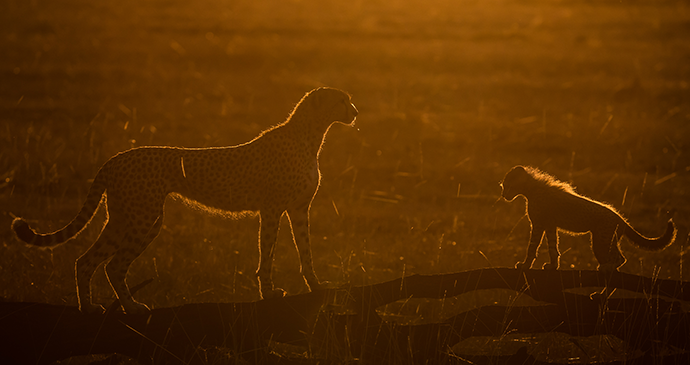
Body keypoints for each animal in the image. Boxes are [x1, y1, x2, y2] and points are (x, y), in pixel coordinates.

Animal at [13, 86, 358, 312]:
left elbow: (305, 250)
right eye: (342, 101)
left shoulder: (298, 209)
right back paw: (124, 307)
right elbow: (268, 253)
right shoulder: (272, 208)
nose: (355, 113)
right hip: (141, 217)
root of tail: (116, 157)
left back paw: (95, 308)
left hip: (134, 218)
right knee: (109, 263)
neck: (312, 134)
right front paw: (269, 292)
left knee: (90, 261)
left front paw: (316, 286)